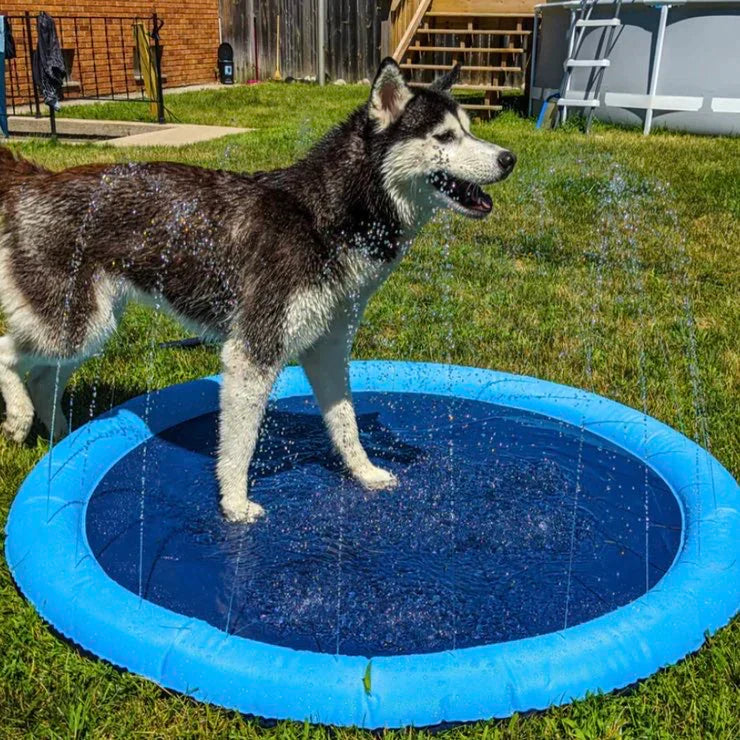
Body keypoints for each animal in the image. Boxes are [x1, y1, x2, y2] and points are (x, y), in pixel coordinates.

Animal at [0, 59, 516, 520]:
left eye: (470, 130)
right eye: (444, 137)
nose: (509, 158)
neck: (326, 219)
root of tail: (37, 179)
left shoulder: (328, 349)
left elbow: (345, 424)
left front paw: (365, 473)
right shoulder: (254, 351)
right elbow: (240, 446)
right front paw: (234, 505)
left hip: (90, 324)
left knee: (43, 375)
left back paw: (59, 437)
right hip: (73, 323)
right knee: (8, 352)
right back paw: (20, 417)